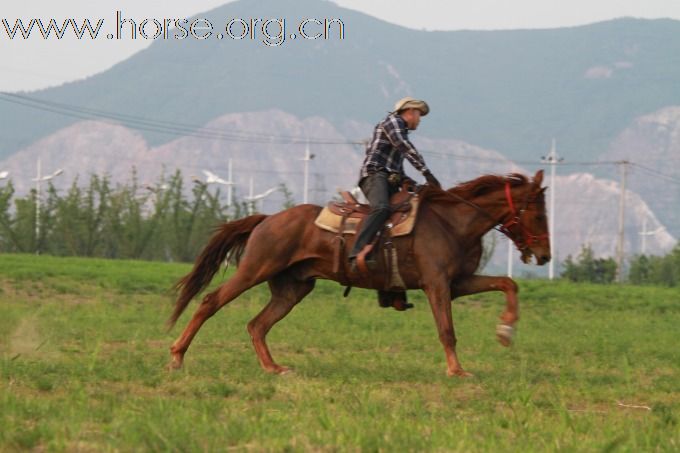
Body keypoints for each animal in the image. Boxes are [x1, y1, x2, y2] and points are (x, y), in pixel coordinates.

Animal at [167, 170, 548, 374]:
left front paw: (506, 331)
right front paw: (457, 370)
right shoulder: (437, 284)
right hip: (255, 269)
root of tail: (268, 219)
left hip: (293, 288)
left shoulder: (458, 282)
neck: (452, 222)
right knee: (210, 301)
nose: (544, 255)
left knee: (257, 325)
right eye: (539, 213)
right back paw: (176, 356)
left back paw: (274, 368)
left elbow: (508, 283)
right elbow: (447, 330)